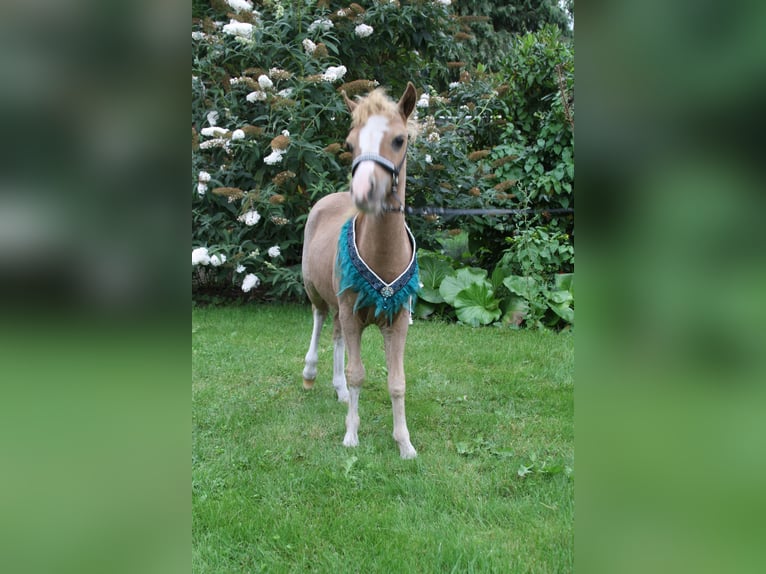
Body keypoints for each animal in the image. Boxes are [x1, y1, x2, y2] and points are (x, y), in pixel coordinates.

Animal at [300, 82, 420, 460]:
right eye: (350, 143)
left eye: (399, 139)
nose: (364, 192)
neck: (382, 254)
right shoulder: (353, 314)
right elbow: (357, 374)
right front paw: (351, 435)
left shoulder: (397, 321)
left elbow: (397, 382)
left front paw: (405, 444)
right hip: (317, 293)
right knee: (320, 321)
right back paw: (310, 373)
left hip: (342, 305)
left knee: (337, 335)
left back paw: (337, 390)